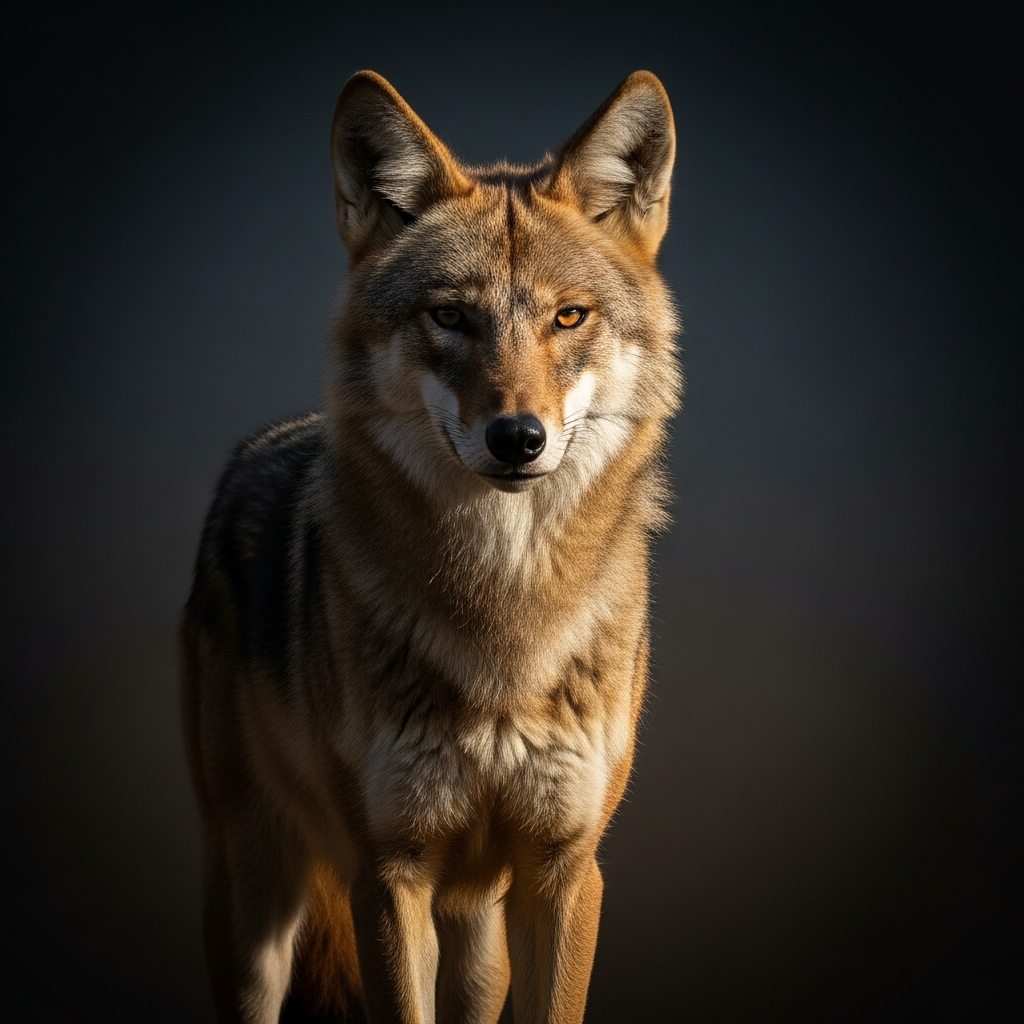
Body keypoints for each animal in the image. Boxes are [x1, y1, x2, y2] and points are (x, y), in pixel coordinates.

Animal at [179, 68, 681, 1024]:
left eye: (569, 318)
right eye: (450, 316)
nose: (517, 438)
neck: (505, 616)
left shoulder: (564, 873)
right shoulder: (388, 877)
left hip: (479, 936)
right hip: (253, 908)